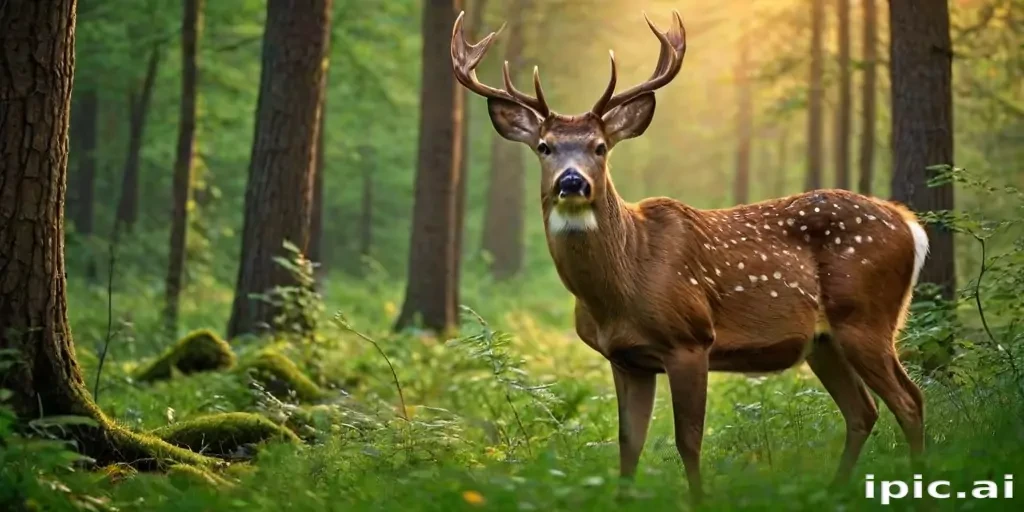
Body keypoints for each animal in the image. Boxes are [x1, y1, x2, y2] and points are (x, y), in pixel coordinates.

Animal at [451, 10, 928, 503]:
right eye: (545, 147)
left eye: (600, 147)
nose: (572, 182)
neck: (620, 290)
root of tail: (909, 224)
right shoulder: (626, 359)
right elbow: (629, 442)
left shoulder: (690, 338)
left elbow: (689, 440)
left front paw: (699, 500)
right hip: (824, 341)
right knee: (863, 411)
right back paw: (834, 491)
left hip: (865, 316)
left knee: (910, 400)